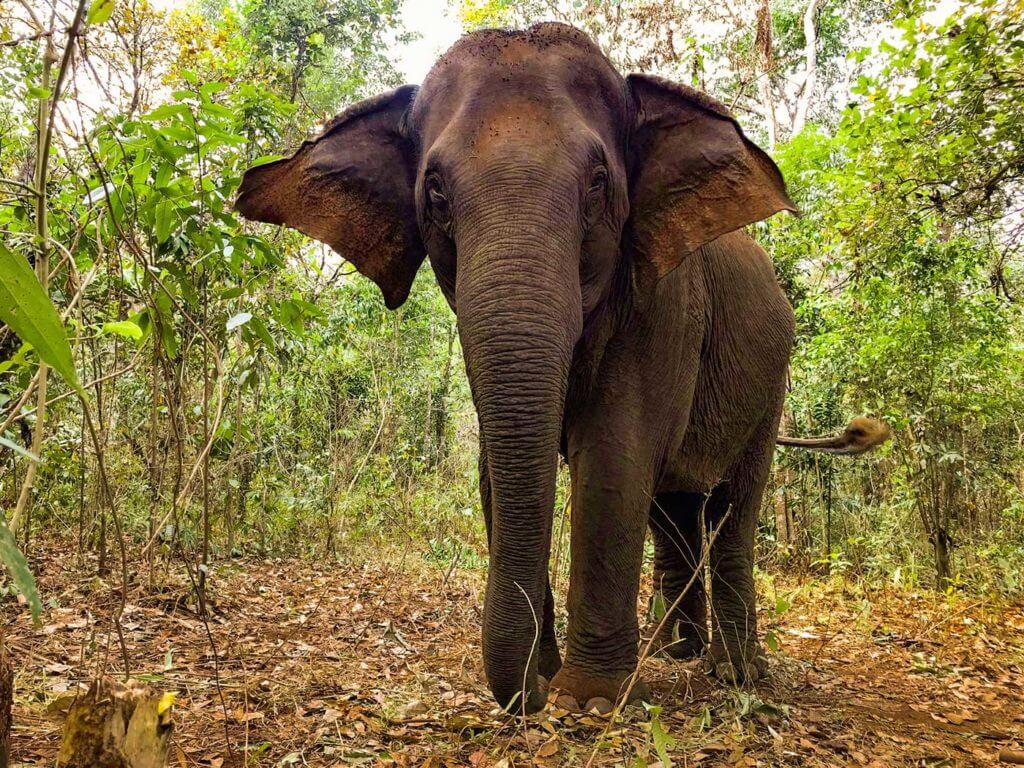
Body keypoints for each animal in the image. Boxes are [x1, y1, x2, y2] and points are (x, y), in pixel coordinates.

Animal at [234, 20, 888, 716]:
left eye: (598, 182)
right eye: (434, 190)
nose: (528, 696)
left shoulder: (663, 304)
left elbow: (615, 459)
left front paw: (590, 702)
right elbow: (496, 468)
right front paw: (554, 678)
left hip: (770, 382)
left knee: (733, 507)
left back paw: (735, 673)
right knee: (673, 511)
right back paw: (675, 654)